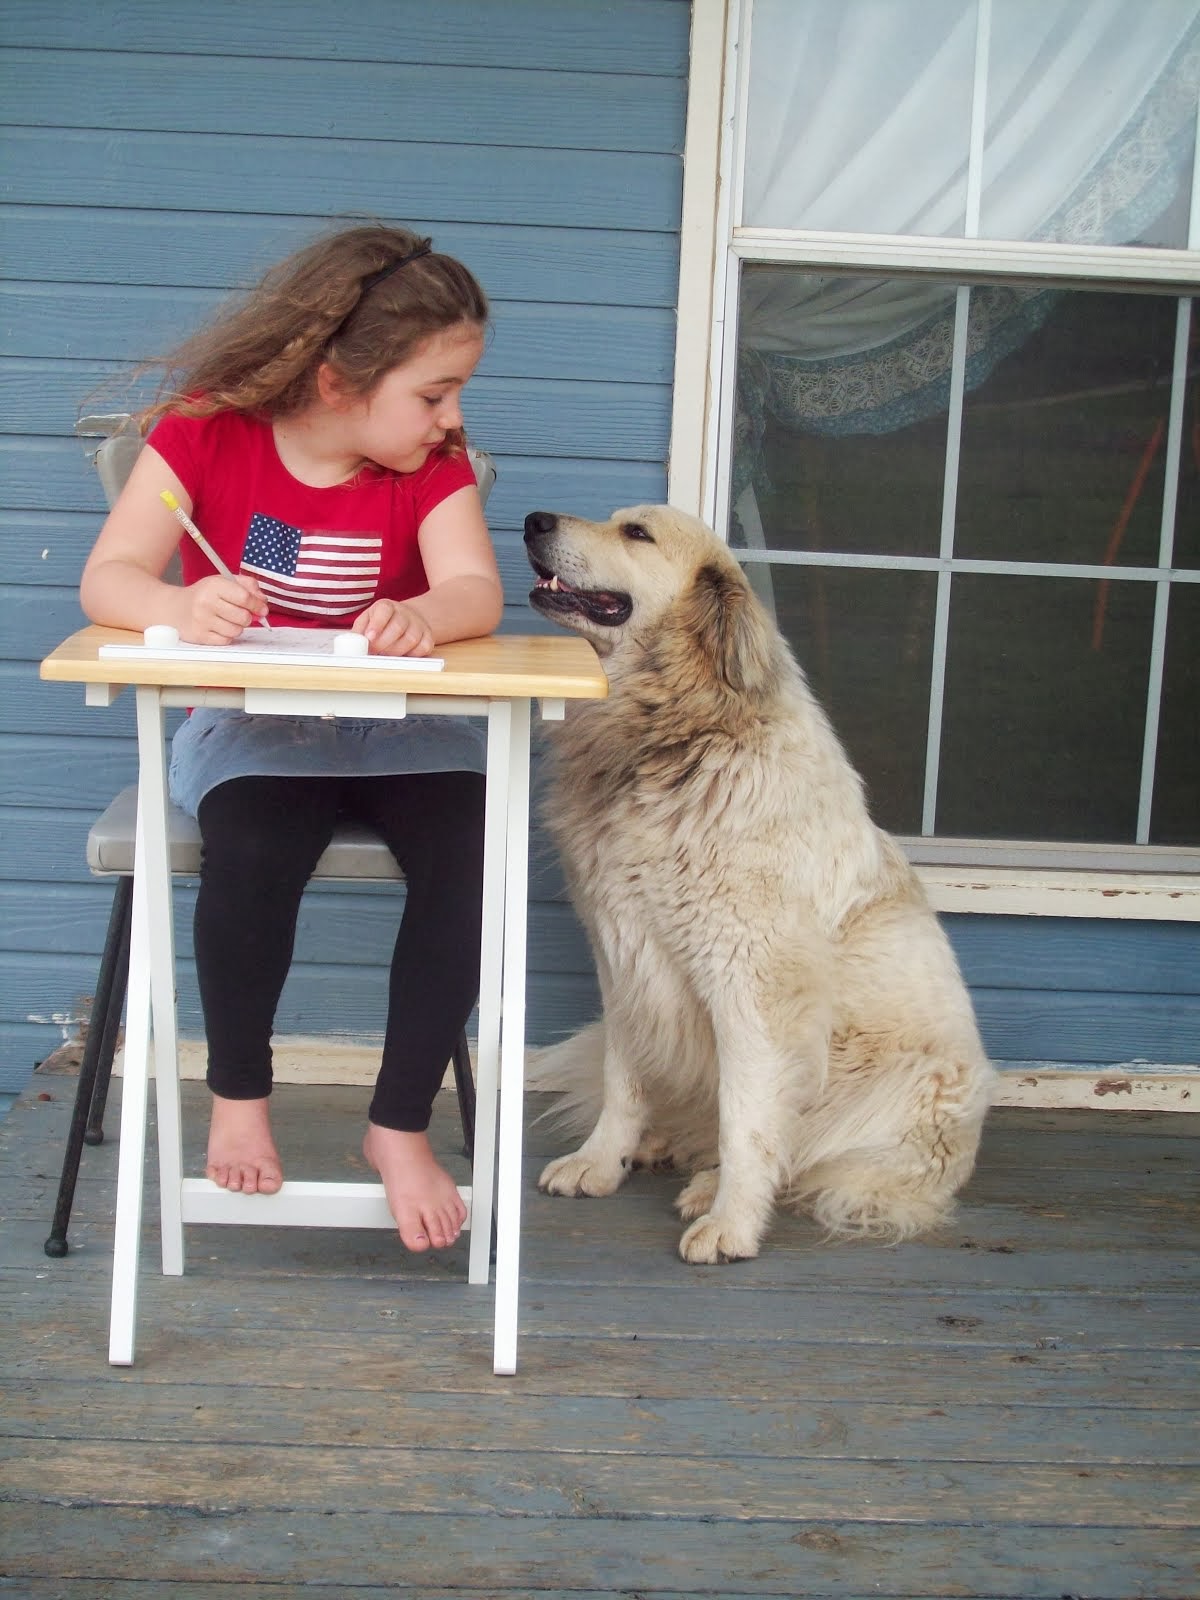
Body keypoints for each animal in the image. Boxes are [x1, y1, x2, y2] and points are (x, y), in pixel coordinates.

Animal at [524, 502, 998, 1260]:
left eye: (637, 534)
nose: (534, 519)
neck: (678, 735)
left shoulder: (750, 986)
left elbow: (747, 1124)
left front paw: (732, 1223)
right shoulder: (623, 958)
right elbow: (625, 1083)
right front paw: (603, 1161)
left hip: (899, 1078)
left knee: (801, 1149)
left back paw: (708, 1187)